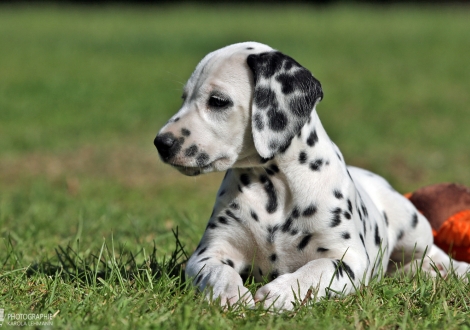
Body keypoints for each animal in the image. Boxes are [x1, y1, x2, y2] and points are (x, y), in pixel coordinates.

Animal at [154, 41, 470, 310]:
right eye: (184, 97)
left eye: (218, 101)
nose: (161, 143)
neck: (274, 188)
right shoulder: (210, 252)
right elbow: (216, 272)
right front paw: (229, 294)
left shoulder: (347, 257)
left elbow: (318, 270)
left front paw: (282, 292)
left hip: (414, 227)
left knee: (432, 253)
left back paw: (455, 270)